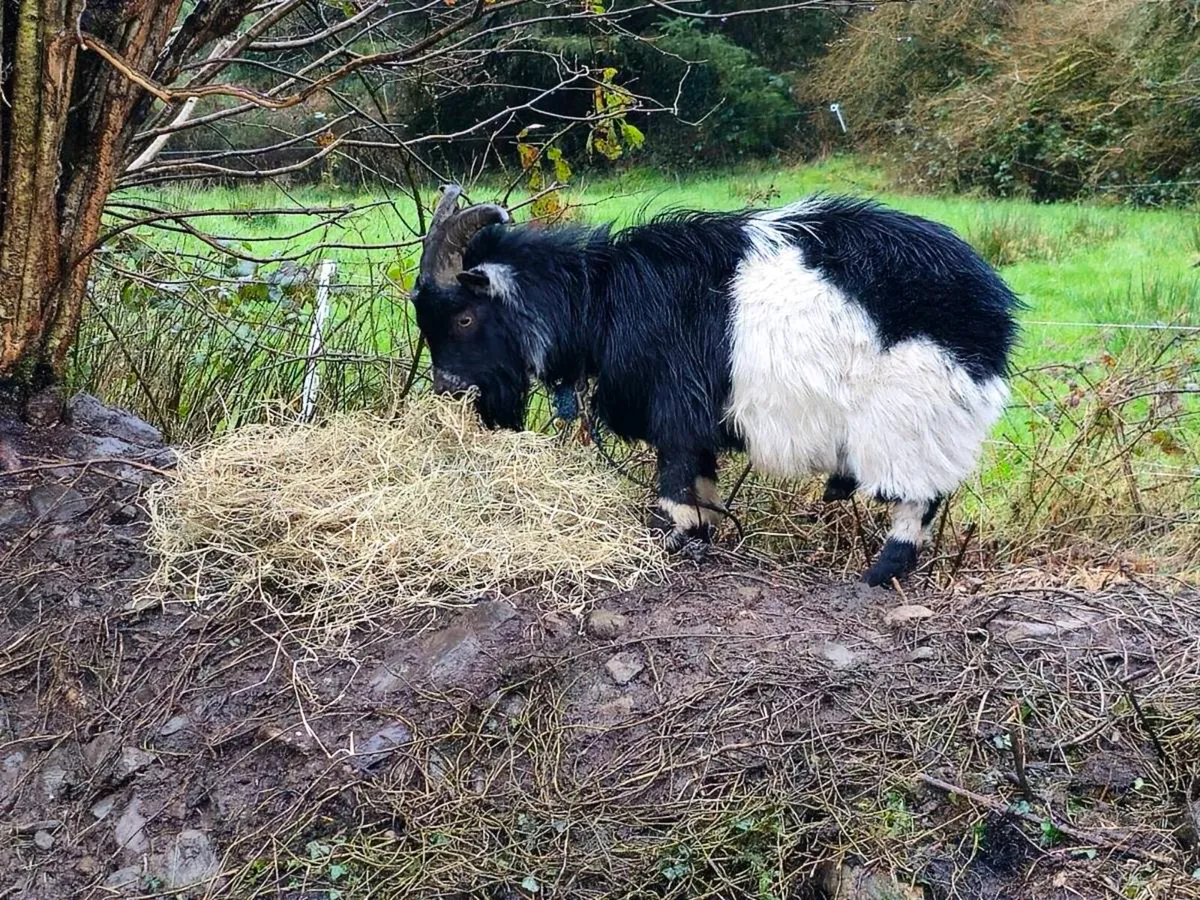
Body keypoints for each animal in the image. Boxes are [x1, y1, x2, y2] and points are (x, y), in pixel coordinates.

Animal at [411, 185, 1019, 586]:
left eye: (463, 317)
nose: (448, 391)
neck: (601, 301)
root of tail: (994, 311)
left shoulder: (677, 411)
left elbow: (675, 481)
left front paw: (670, 539)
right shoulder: (697, 424)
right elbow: (700, 482)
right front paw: (700, 535)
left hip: (913, 419)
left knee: (919, 498)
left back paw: (880, 574)